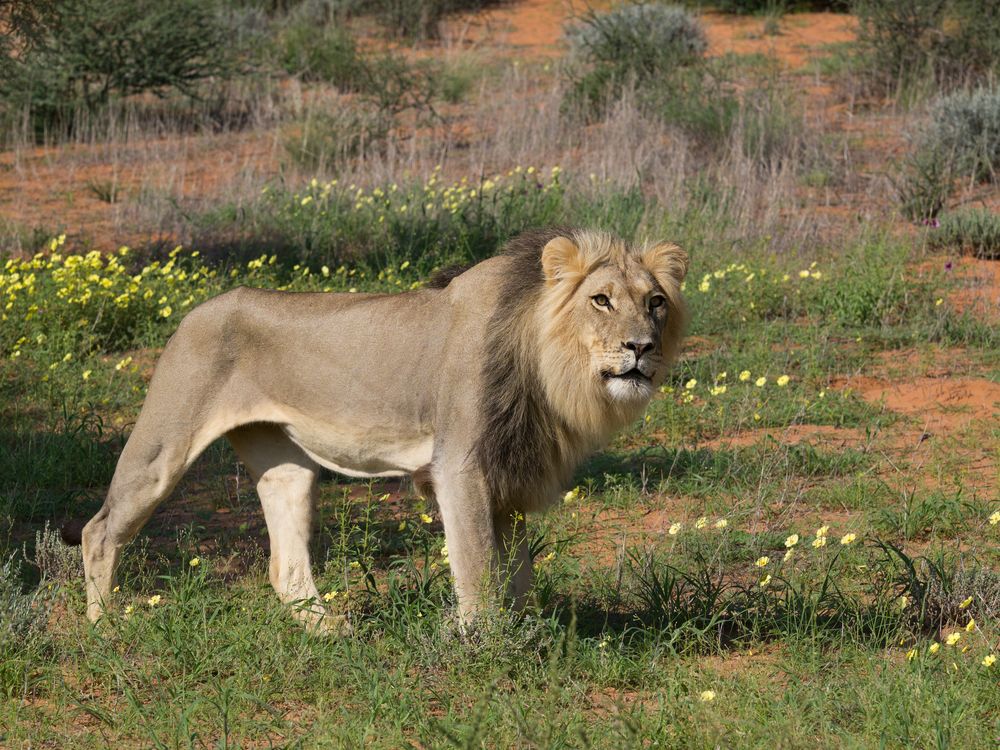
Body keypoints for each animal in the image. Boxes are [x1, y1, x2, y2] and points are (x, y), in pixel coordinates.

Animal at [72, 229, 688, 636]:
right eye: (600, 299)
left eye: (655, 302)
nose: (641, 347)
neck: (551, 367)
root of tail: (193, 311)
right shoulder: (460, 465)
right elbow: (478, 566)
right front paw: (484, 647)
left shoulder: (511, 473)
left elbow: (516, 572)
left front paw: (523, 632)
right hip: (163, 446)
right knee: (98, 530)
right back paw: (103, 630)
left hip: (287, 467)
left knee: (285, 565)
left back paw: (334, 634)